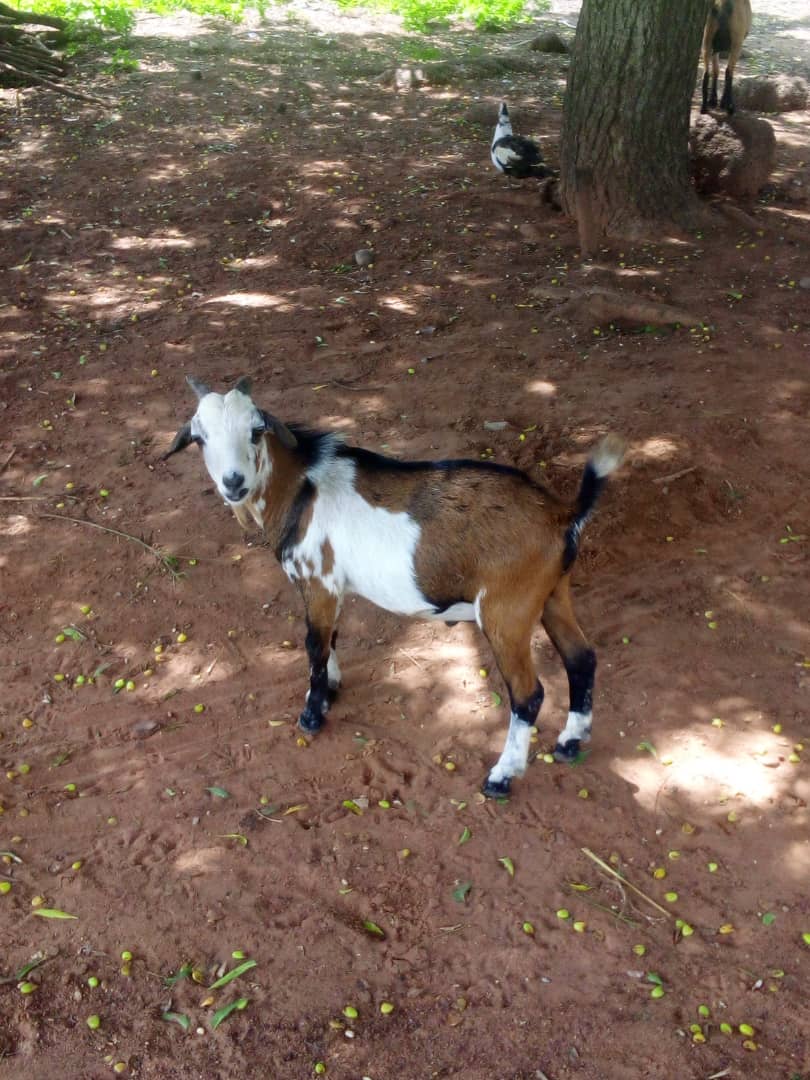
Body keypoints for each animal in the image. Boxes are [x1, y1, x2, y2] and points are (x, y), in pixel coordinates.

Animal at [162, 376, 624, 799]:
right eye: (200, 438)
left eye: (256, 430)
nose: (233, 482)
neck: (300, 489)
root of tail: (563, 514)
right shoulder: (333, 586)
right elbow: (331, 637)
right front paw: (331, 690)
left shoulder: (318, 580)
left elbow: (314, 645)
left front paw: (312, 714)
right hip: (552, 593)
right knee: (581, 659)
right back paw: (569, 742)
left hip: (506, 609)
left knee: (528, 694)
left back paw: (502, 776)